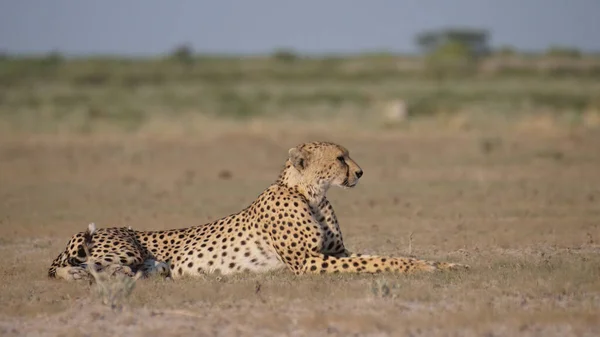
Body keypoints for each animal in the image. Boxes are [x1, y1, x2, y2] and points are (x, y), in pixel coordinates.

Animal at [48, 140, 468, 280]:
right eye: (340, 157)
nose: (361, 172)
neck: (309, 193)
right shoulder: (309, 262)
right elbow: (379, 261)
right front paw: (422, 268)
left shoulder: (336, 252)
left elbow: (385, 254)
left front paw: (447, 264)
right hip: (124, 247)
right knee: (75, 269)